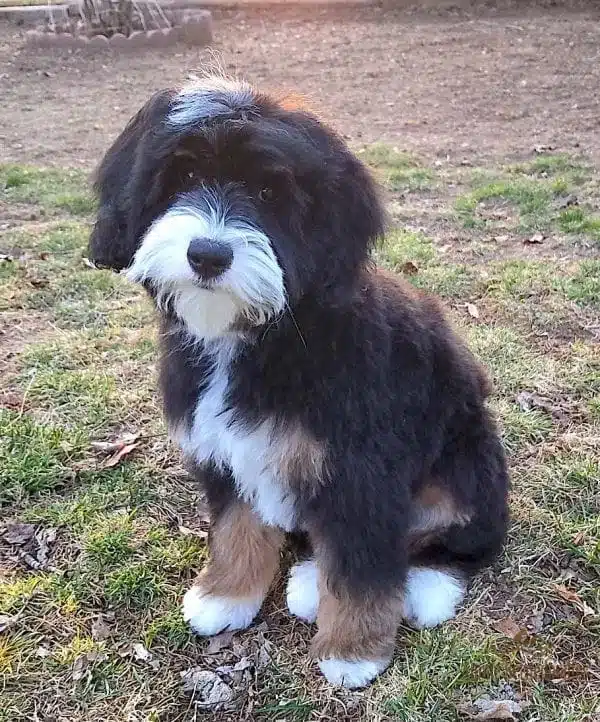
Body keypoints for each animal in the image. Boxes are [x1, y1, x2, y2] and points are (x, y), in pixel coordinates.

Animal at [89, 76, 508, 688]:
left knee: (454, 535)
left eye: (269, 193)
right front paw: (226, 596)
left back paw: (423, 585)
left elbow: (361, 562)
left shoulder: (360, 470)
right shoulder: (225, 452)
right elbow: (236, 527)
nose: (207, 254)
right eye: (183, 178)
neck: (264, 332)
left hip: (464, 460)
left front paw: (353, 651)